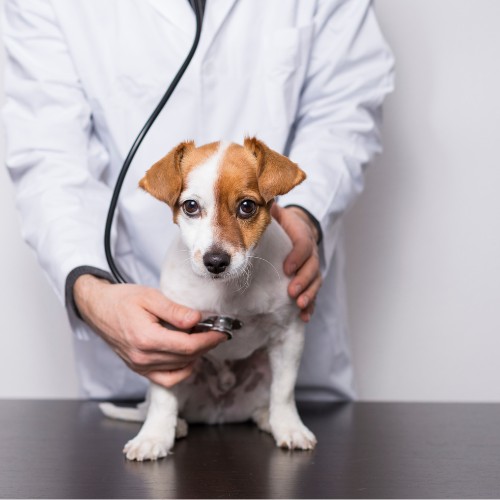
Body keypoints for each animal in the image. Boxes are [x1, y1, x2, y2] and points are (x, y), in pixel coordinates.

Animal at [100, 137, 316, 460]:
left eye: (247, 207)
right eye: (191, 206)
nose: (216, 261)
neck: (227, 291)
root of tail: (218, 412)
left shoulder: (289, 335)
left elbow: (284, 390)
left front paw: (289, 427)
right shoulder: (168, 340)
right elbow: (163, 398)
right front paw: (154, 436)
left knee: (267, 399)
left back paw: (267, 417)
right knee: (159, 403)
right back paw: (175, 425)